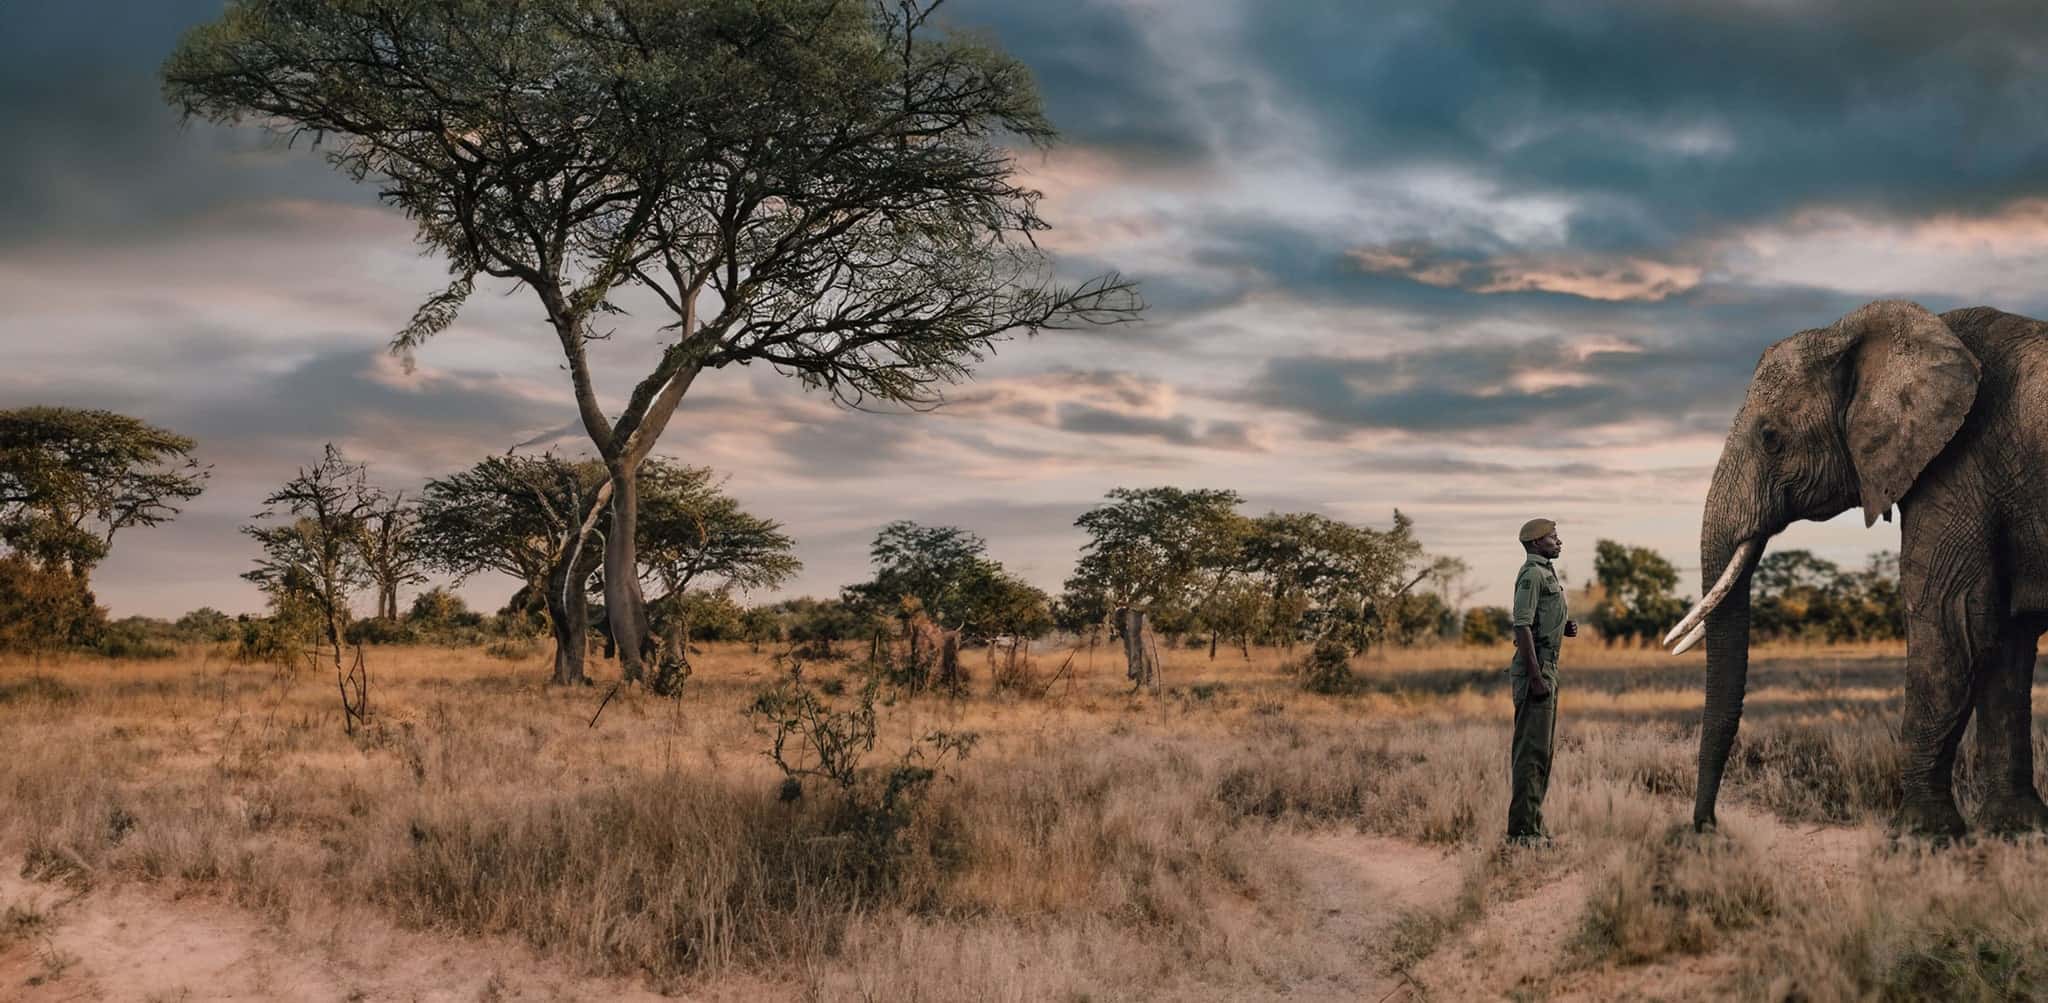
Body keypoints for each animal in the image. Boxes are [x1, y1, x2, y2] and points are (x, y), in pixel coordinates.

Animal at [1668, 299, 2048, 839]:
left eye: (1771, 438)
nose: (1705, 827)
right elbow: (2005, 640)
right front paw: (2015, 830)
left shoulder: (1961, 464)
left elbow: (1951, 620)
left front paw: (1918, 837)